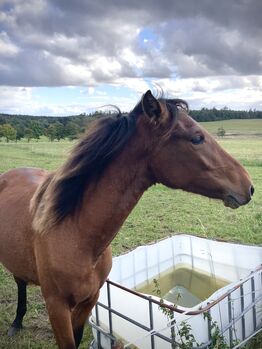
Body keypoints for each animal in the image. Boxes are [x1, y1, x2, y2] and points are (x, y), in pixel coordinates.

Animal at [0, 91, 254, 346]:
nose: (249, 186)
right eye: (197, 138)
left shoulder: (89, 300)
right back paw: (16, 323)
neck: (76, 234)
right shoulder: (57, 308)